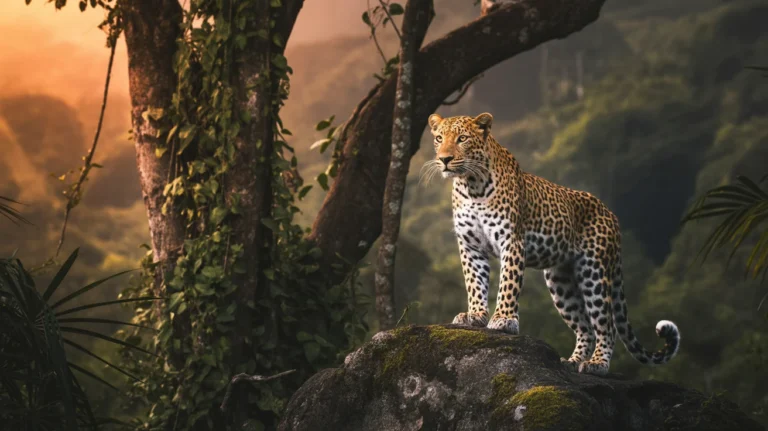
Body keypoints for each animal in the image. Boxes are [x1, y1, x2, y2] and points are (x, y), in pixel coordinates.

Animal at [423, 112, 680, 375]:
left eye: (462, 138)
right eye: (439, 138)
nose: (444, 159)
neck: (471, 185)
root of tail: (612, 215)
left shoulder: (511, 241)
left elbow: (508, 283)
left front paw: (504, 319)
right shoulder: (470, 246)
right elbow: (475, 283)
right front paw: (475, 315)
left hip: (594, 272)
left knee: (606, 325)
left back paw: (597, 364)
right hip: (561, 282)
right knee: (585, 328)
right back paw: (572, 362)